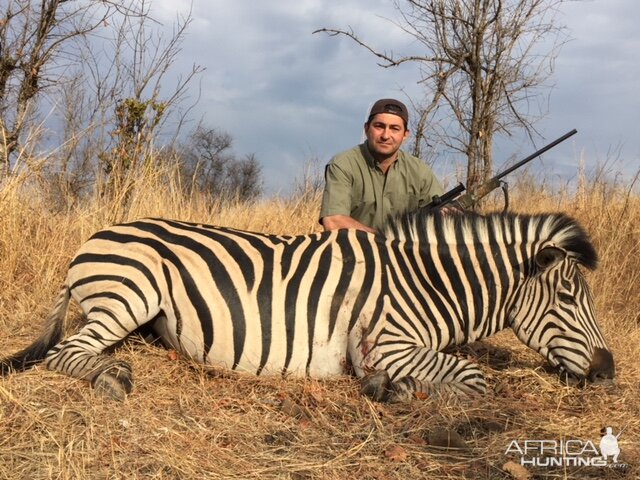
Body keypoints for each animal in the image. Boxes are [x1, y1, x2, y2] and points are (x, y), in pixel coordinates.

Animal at [0, 212, 616, 404]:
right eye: (569, 297)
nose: (609, 371)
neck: (426, 283)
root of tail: (97, 235)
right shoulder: (386, 343)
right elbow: (475, 379)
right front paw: (394, 391)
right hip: (130, 291)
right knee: (65, 352)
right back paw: (112, 376)